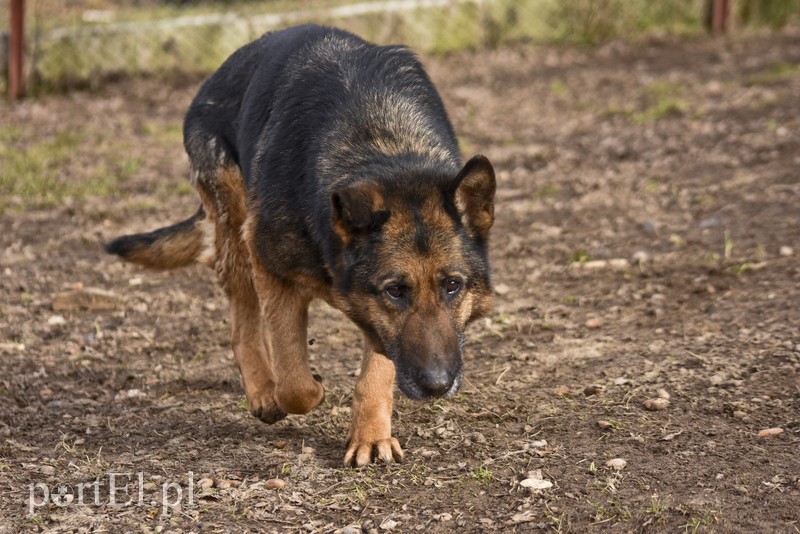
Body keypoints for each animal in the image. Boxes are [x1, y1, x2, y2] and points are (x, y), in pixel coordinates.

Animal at [106, 24, 494, 468]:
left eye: (452, 286)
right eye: (396, 290)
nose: (437, 385)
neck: (381, 146)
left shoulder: (377, 323)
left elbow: (375, 373)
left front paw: (371, 436)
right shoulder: (273, 269)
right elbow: (294, 379)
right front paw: (304, 389)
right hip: (237, 236)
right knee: (242, 329)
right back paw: (262, 391)